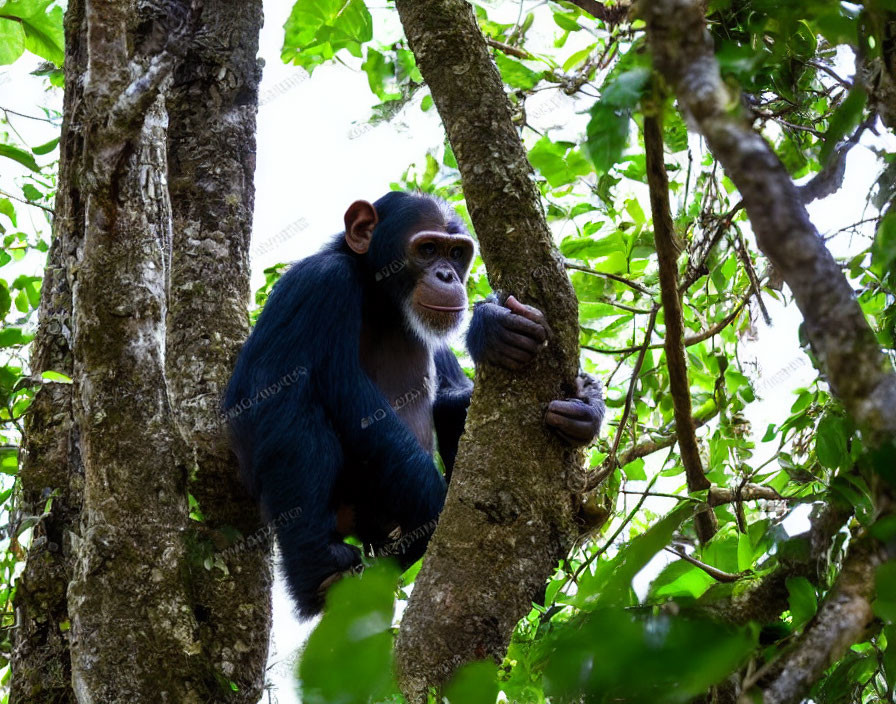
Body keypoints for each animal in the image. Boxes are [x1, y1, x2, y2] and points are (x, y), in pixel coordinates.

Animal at [222, 190, 608, 612]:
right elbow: (281, 391)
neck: (383, 301)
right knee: (300, 418)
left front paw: (583, 404)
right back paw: (324, 566)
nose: (447, 276)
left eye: (456, 253)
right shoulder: (317, 283)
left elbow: (450, 396)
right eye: (426, 249)